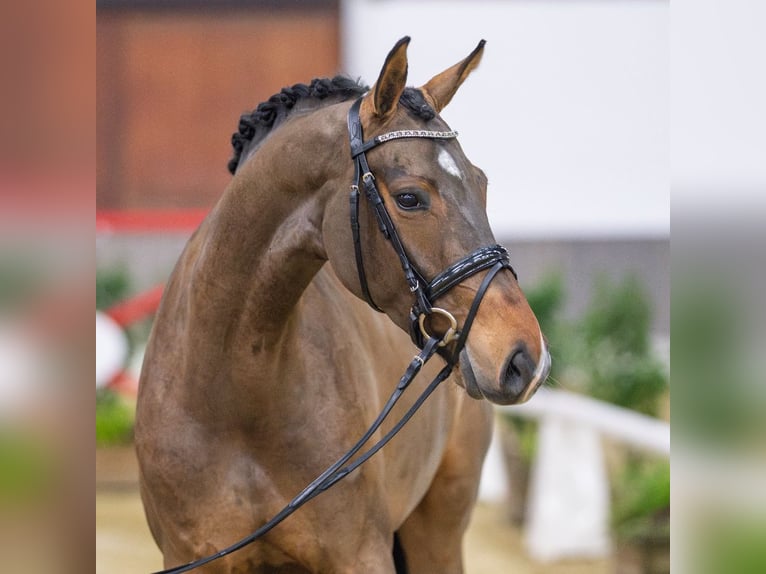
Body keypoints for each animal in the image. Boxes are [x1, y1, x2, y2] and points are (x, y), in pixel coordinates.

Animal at [135, 37, 550, 574]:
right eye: (410, 198)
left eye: (481, 184)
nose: (525, 358)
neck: (233, 395)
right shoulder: (191, 556)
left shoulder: (360, 555)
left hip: (439, 528)